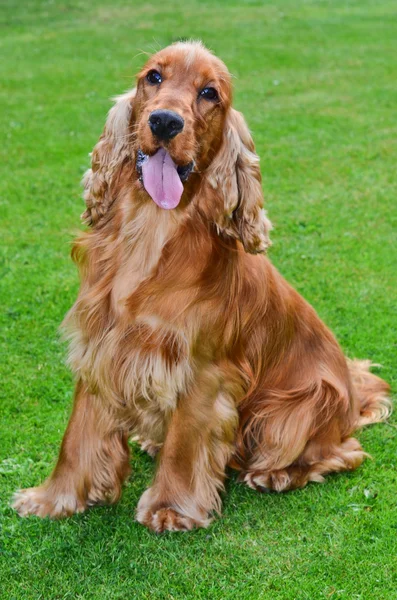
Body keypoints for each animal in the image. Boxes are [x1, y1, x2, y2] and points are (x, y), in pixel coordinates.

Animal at [13, 41, 392, 528]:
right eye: (153, 77)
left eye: (210, 93)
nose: (164, 122)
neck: (151, 231)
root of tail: (350, 394)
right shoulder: (100, 345)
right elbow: (77, 435)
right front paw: (52, 498)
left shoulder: (202, 369)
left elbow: (185, 443)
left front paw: (170, 508)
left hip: (293, 408)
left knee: (343, 452)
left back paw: (277, 474)